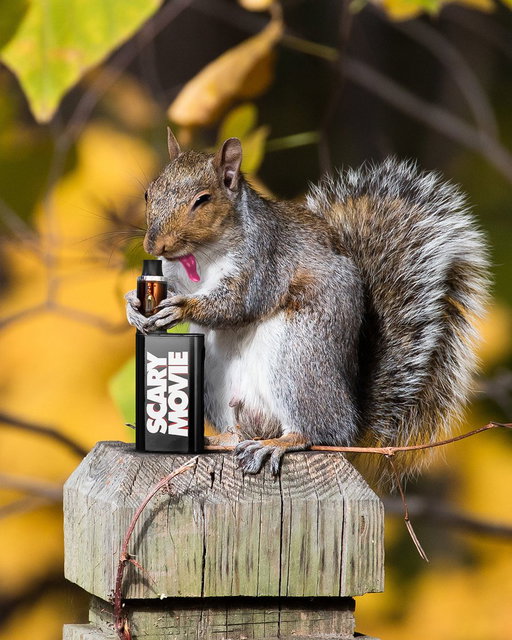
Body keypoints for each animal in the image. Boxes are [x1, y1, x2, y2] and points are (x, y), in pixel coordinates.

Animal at [126, 128, 489, 483]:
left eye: (203, 200)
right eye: (148, 193)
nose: (154, 244)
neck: (202, 254)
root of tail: (352, 420)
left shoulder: (265, 261)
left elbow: (238, 304)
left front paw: (180, 308)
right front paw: (134, 305)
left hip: (297, 363)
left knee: (316, 433)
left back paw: (277, 444)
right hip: (218, 381)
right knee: (239, 432)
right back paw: (221, 439)